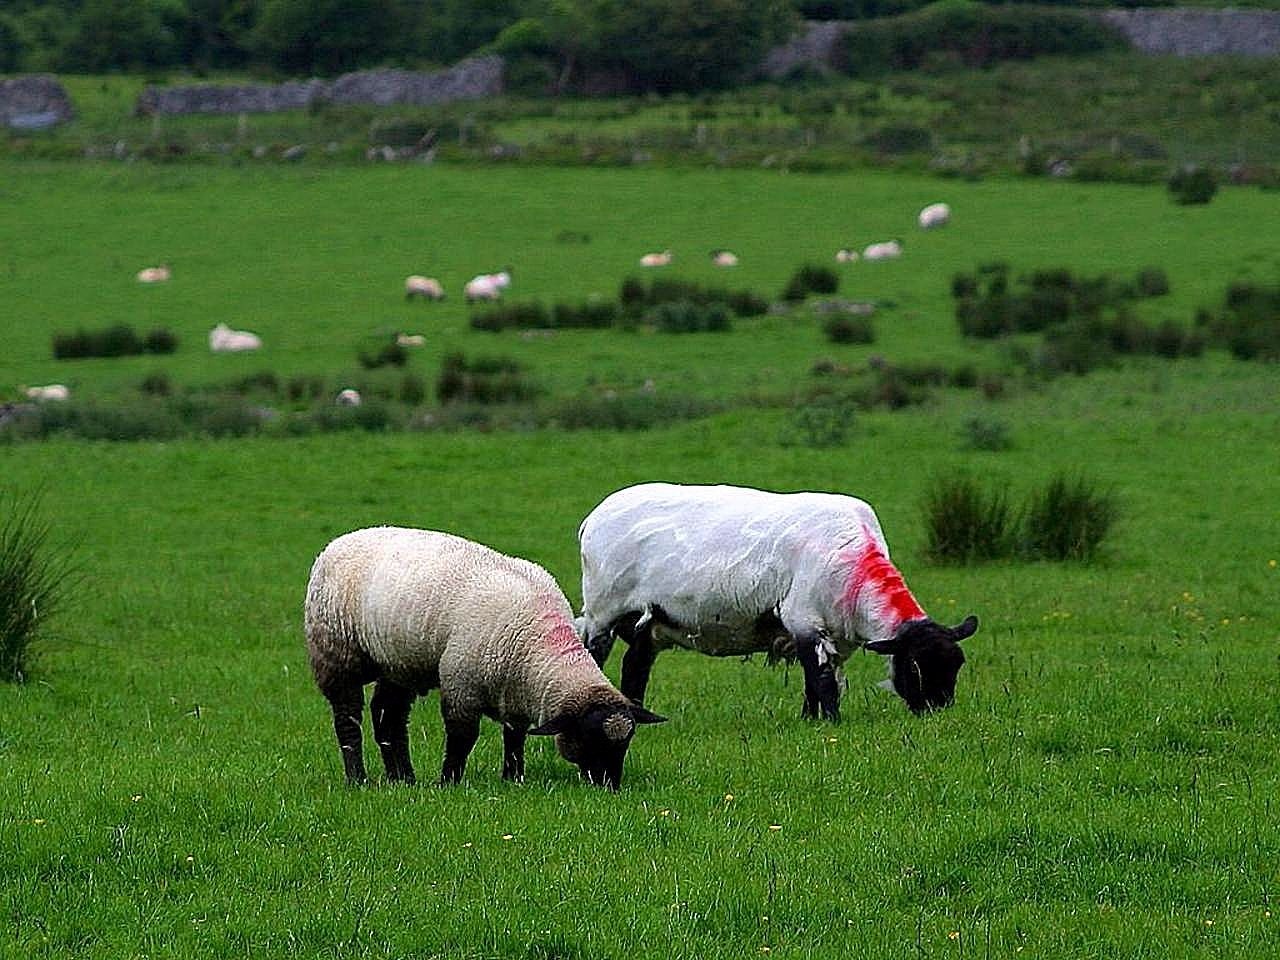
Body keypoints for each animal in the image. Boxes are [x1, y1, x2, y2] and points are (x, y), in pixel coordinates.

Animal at [304, 529, 665, 793]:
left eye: (627, 741)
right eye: (590, 738)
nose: (611, 787)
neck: (539, 644)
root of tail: (337, 542)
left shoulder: (516, 693)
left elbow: (515, 737)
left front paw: (513, 778)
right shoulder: (461, 686)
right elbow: (462, 738)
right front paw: (448, 782)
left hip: (398, 663)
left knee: (387, 716)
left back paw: (403, 778)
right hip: (335, 655)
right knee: (348, 719)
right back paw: (358, 779)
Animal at [581, 488, 977, 721]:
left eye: (957, 665)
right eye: (915, 666)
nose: (938, 711)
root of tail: (593, 517)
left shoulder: (831, 633)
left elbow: (815, 681)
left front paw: (810, 721)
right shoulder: (804, 620)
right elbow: (821, 680)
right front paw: (832, 723)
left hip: (647, 622)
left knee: (635, 665)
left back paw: (637, 711)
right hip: (602, 610)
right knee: (594, 656)